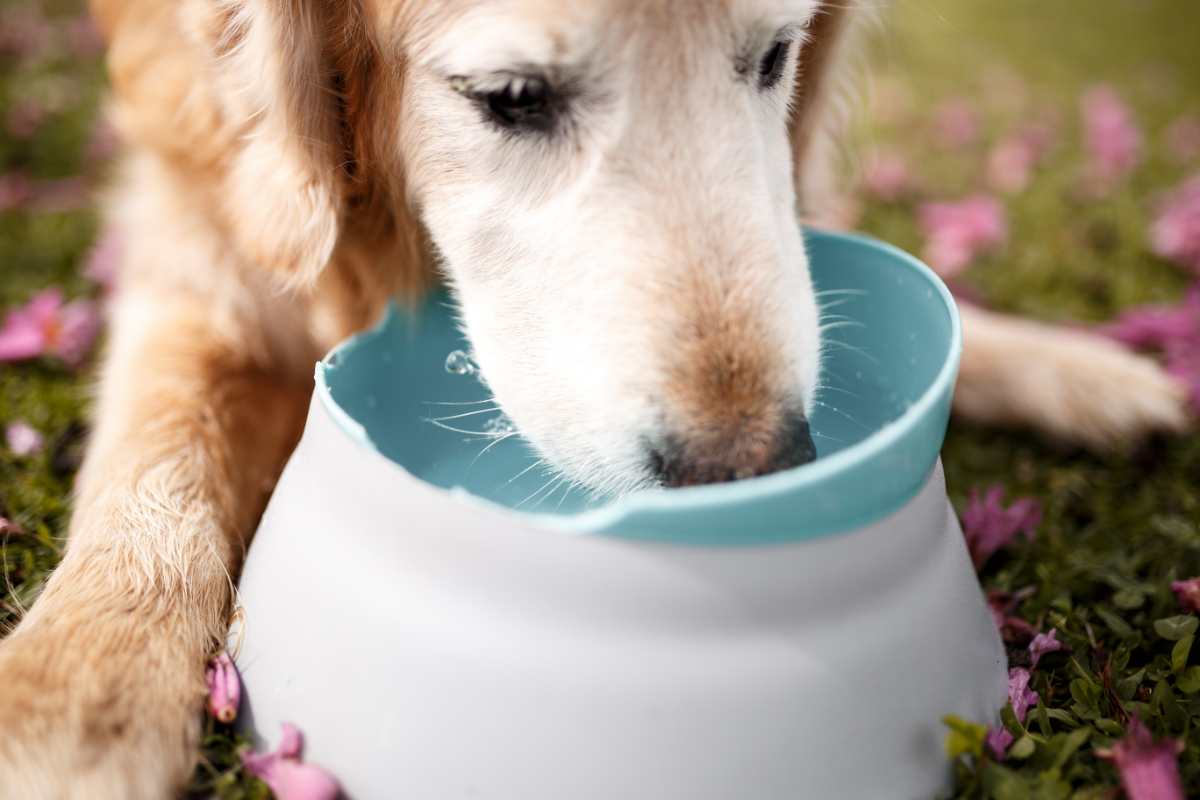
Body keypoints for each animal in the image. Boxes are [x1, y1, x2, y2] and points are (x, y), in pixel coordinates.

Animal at [0, 1, 1185, 796]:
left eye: (775, 55)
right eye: (512, 98)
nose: (752, 471)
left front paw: (1076, 369)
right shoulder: (198, 231)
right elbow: (155, 464)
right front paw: (73, 702)